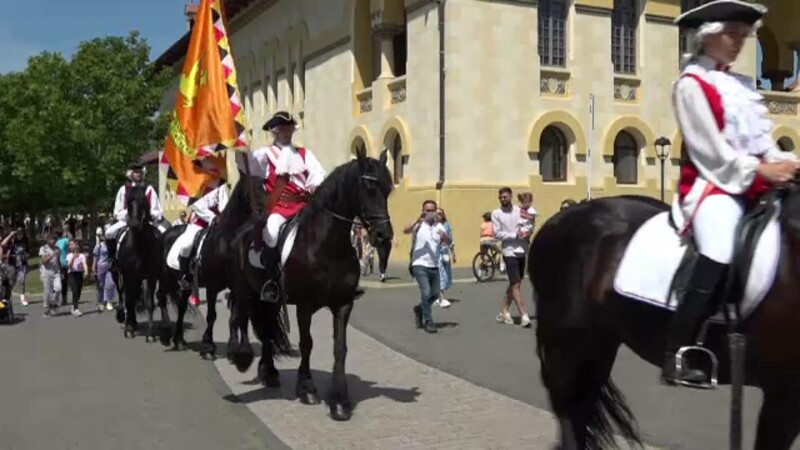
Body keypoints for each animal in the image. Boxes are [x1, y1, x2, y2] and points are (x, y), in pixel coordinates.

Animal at [115, 185, 167, 340]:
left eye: (143, 203)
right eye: (128, 204)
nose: (134, 224)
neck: (138, 246)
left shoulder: (151, 276)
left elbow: (149, 303)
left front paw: (150, 334)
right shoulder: (128, 275)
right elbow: (128, 300)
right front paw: (128, 329)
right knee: (124, 295)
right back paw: (127, 320)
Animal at [230, 149, 396, 420]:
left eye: (388, 188)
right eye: (369, 186)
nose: (384, 235)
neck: (326, 246)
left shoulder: (342, 304)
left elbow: (340, 348)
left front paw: (339, 401)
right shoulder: (305, 305)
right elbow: (307, 344)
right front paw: (306, 388)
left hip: (270, 300)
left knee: (267, 330)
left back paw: (269, 372)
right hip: (246, 291)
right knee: (240, 318)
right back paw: (242, 357)